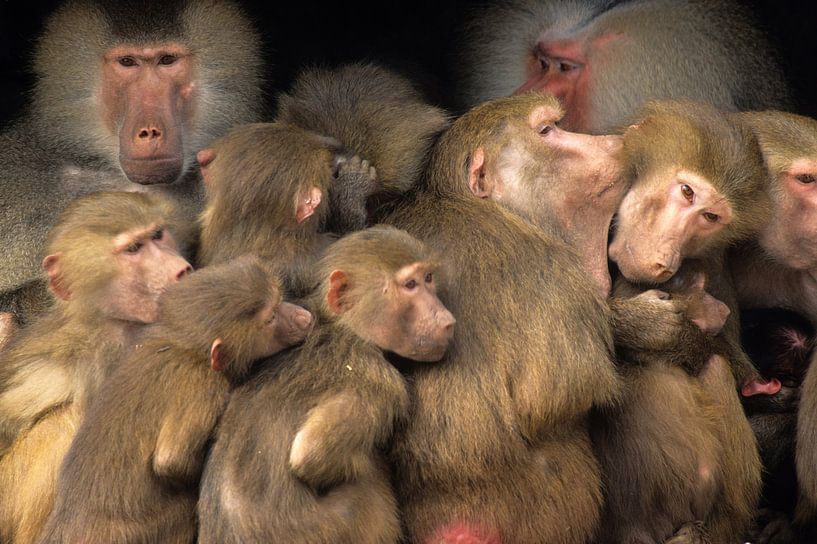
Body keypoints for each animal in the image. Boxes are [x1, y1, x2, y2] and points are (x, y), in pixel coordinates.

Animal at [37, 256, 313, 544]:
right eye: (271, 318)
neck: (181, 342)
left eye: (280, 299)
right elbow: (170, 461)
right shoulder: (204, 384)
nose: (303, 316)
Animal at [197, 225, 455, 544]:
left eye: (428, 278)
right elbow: (310, 458)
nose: (447, 320)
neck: (339, 324)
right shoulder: (378, 382)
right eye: (410, 285)